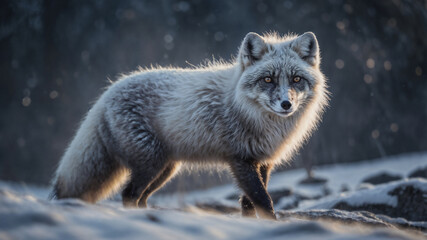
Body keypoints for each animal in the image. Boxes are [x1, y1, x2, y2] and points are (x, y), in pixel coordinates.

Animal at [51, 31, 332, 219]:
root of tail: (106, 93)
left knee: (140, 197)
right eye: (268, 79)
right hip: (150, 165)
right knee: (129, 194)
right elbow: (264, 200)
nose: (286, 104)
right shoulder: (240, 160)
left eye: (296, 79)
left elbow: (249, 204)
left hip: (165, 169)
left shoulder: (263, 163)